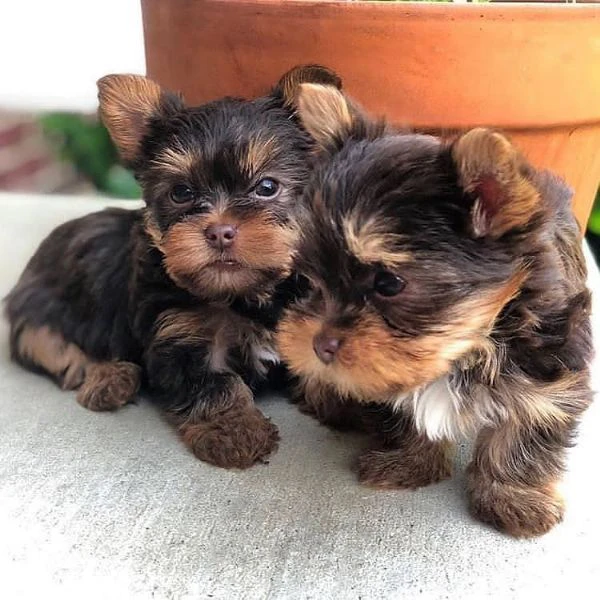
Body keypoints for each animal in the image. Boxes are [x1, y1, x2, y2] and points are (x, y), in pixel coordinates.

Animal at [3, 64, 342, 468]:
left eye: (267, 186)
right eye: (181, 193)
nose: (220, 232)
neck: (243, 294)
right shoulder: (179, 337)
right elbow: (216, 384)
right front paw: (235, 431)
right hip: (41, 314)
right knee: (57, 350)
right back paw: (109, 378)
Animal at [278, 82, 596, 536]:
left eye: (389, 283)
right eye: (308, 279)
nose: (319, 344)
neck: (474, 343)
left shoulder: (551, 372)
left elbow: (525, 430)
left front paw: (514, 499)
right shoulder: (395, 368)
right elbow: (406, 410)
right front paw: (410, 462)